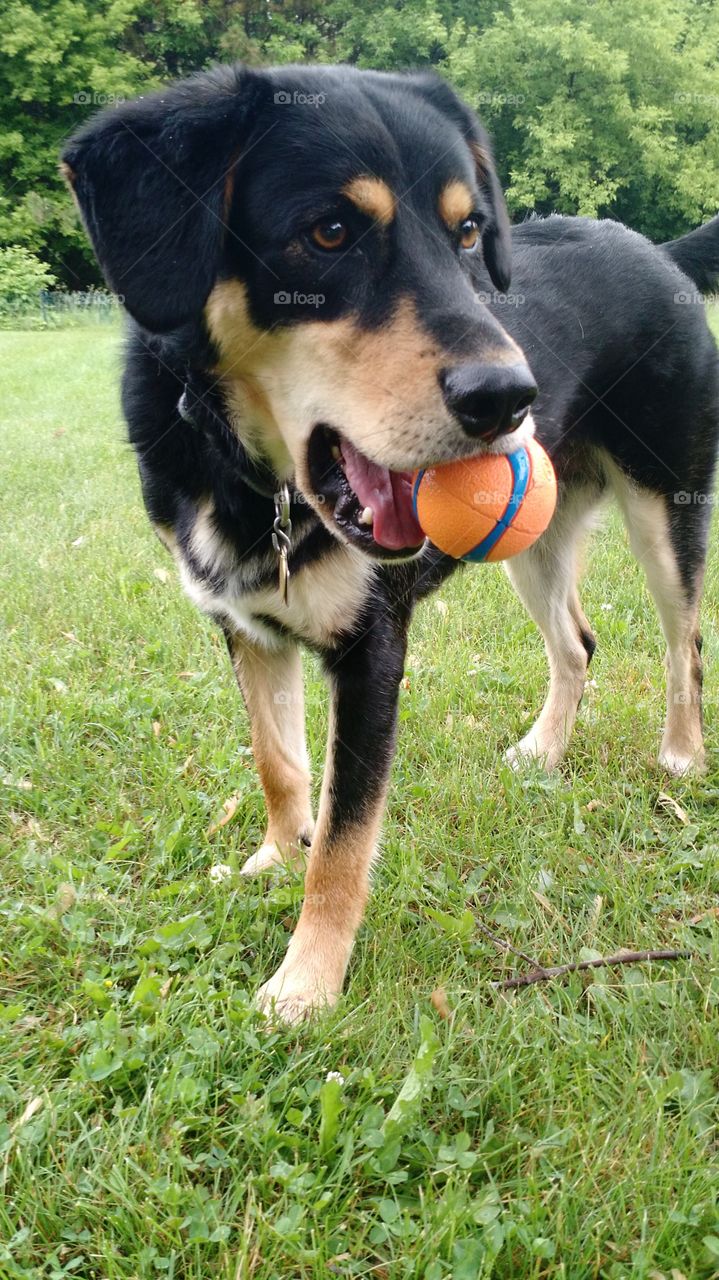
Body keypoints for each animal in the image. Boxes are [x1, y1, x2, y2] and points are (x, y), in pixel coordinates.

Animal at [61, 62, 716, 1018]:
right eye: (329, 232)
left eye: (468, 231)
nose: (508, 395)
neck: (257, 482)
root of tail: (658, 252)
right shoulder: (247, 629)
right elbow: (279, 763)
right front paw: (273, 856)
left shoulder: (371, 652)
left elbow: (346, 835)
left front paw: (305, 982)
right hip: (536, 538)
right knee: (577, 643)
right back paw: (543, 752)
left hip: (666, 507)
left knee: (682, 645)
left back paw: (679, 755)